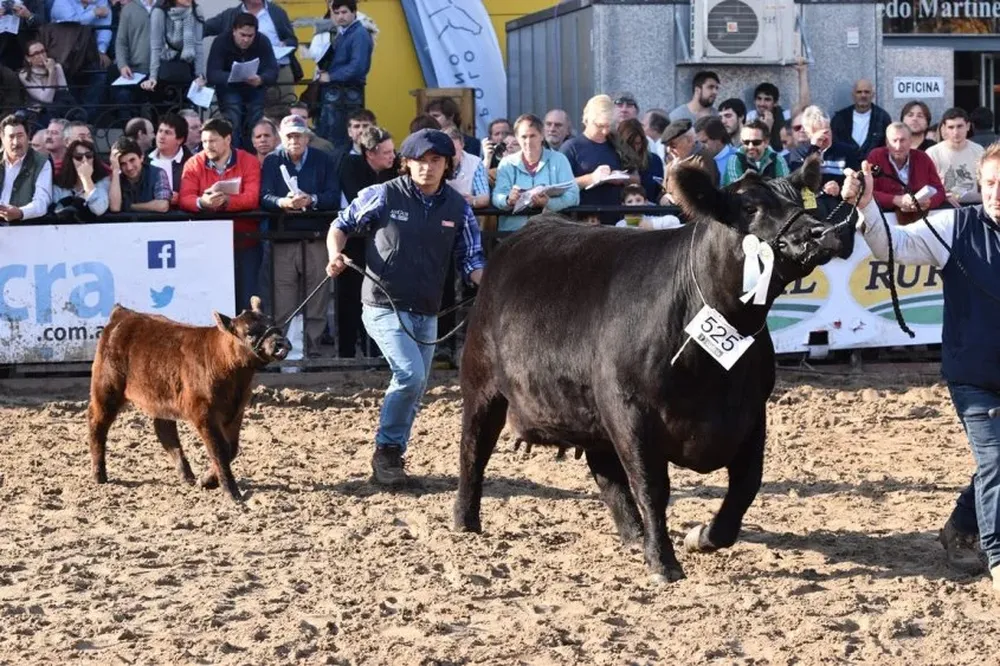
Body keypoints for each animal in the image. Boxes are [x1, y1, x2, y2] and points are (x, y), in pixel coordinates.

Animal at [87, 296, 291, 501]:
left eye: (273, 323)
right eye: (249, 333)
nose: (281, 343)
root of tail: (123, 314)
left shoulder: (236, 413)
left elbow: (231, 448)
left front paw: (207, 480)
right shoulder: (204, 415)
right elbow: (219, 450)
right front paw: (231, 492)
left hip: (161, 398)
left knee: (165, 432)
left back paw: (187, 476)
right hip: (106, 390)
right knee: (97, 423)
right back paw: (99, 474)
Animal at [454, 156, 851, 583]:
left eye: (799, 200)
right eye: (750, 208)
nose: (821, 232)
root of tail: (531, 229)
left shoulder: (751, 413)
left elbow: (746, 486)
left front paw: (702, 537)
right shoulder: (630, 411)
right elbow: (652, 487)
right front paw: (663, 562)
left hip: (590, 409)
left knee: (605, 470)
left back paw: (633, 535)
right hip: (481, 382)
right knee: (474, 448)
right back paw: (465, 521)